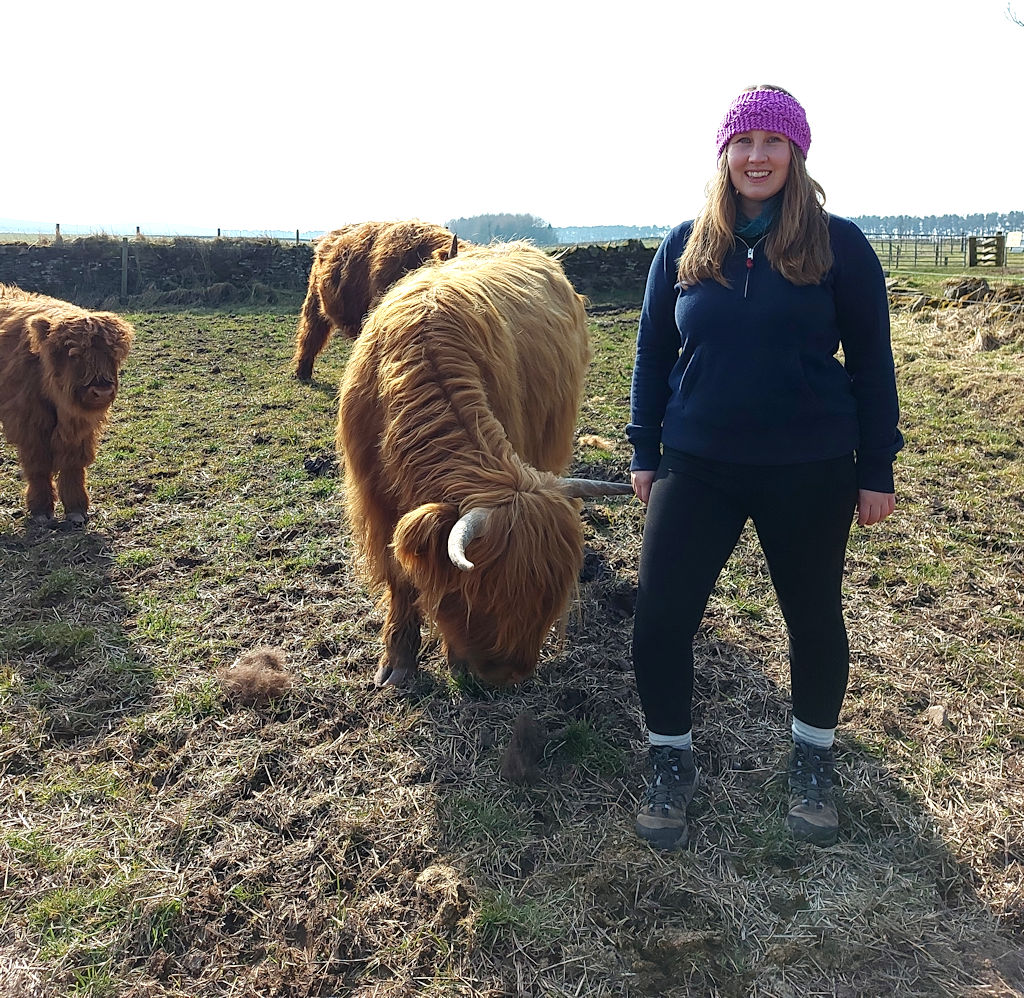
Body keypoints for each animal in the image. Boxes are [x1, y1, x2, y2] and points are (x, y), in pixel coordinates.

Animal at [0, 282, 134, 522]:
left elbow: (72, 464)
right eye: (74, 355)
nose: (101, 391)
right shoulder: (29, 423)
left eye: (112, 355)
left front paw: (76, 509)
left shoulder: (77, 425)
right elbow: (38, 466)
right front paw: (40, 510)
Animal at [335, 245, 630, 691]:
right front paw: (399, 662)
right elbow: (399, 577)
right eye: (478, 595)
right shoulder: (375, 502)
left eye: (547, 600)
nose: (507, 675)